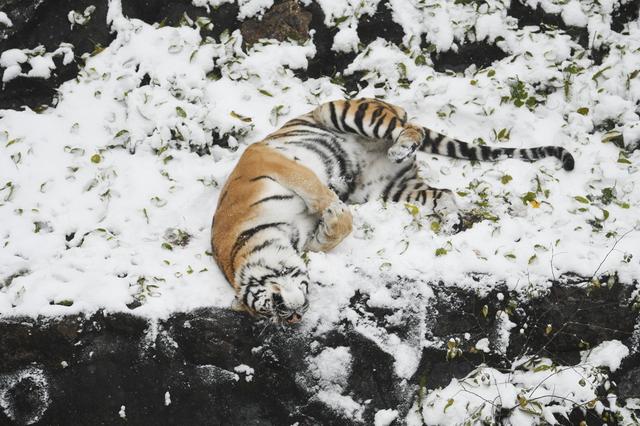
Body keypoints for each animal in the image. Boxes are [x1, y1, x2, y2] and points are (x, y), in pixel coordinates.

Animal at [211, 98, 576, 324]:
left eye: (275, 308)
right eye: (277, 318)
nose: (297, 316)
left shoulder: (267, 158)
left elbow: (323, 198)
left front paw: (331, 216)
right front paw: (321, 236)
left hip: (347, 113)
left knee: (411, 127)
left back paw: (402, 146)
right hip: (389, 188)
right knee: (443, 192)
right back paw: (450, 223)